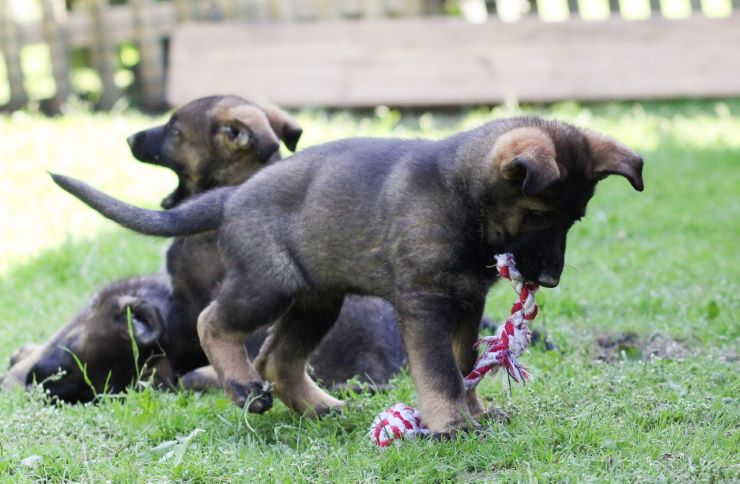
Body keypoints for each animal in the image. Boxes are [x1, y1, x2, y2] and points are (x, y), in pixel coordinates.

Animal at [53, 114, 640, 434]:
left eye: (574, 219)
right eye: (538, 215)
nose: (552, 280)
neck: (459, 195)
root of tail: (233, 196)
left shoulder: (466, 304)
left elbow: (465, 364)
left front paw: (474, 413)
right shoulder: (424, 304)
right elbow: (439, 372)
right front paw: (451, 425)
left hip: (318, 300)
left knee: (280, 359)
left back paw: (322, 407)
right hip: (267, 284)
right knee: (213, 323)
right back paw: (242, 386)